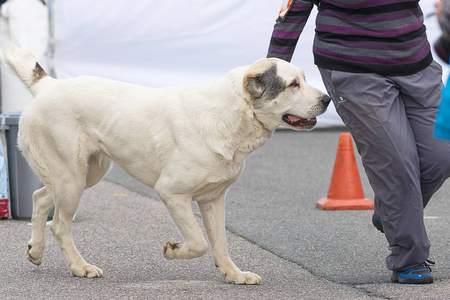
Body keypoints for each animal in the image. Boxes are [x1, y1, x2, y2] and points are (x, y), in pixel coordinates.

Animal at [5, 44, 328, 284]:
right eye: (293, 84)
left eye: (304, 78)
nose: (327, 100)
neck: (233, 114)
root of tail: (48, 85)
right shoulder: (172, 193)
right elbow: (198, 242)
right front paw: (173, 251)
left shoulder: (213, 199)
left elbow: (220, 242)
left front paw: (233, 274)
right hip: (72, 177)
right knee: (60, 224)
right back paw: (79, 266)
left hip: (85, 175)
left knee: (40, 198)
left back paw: (36, 251)